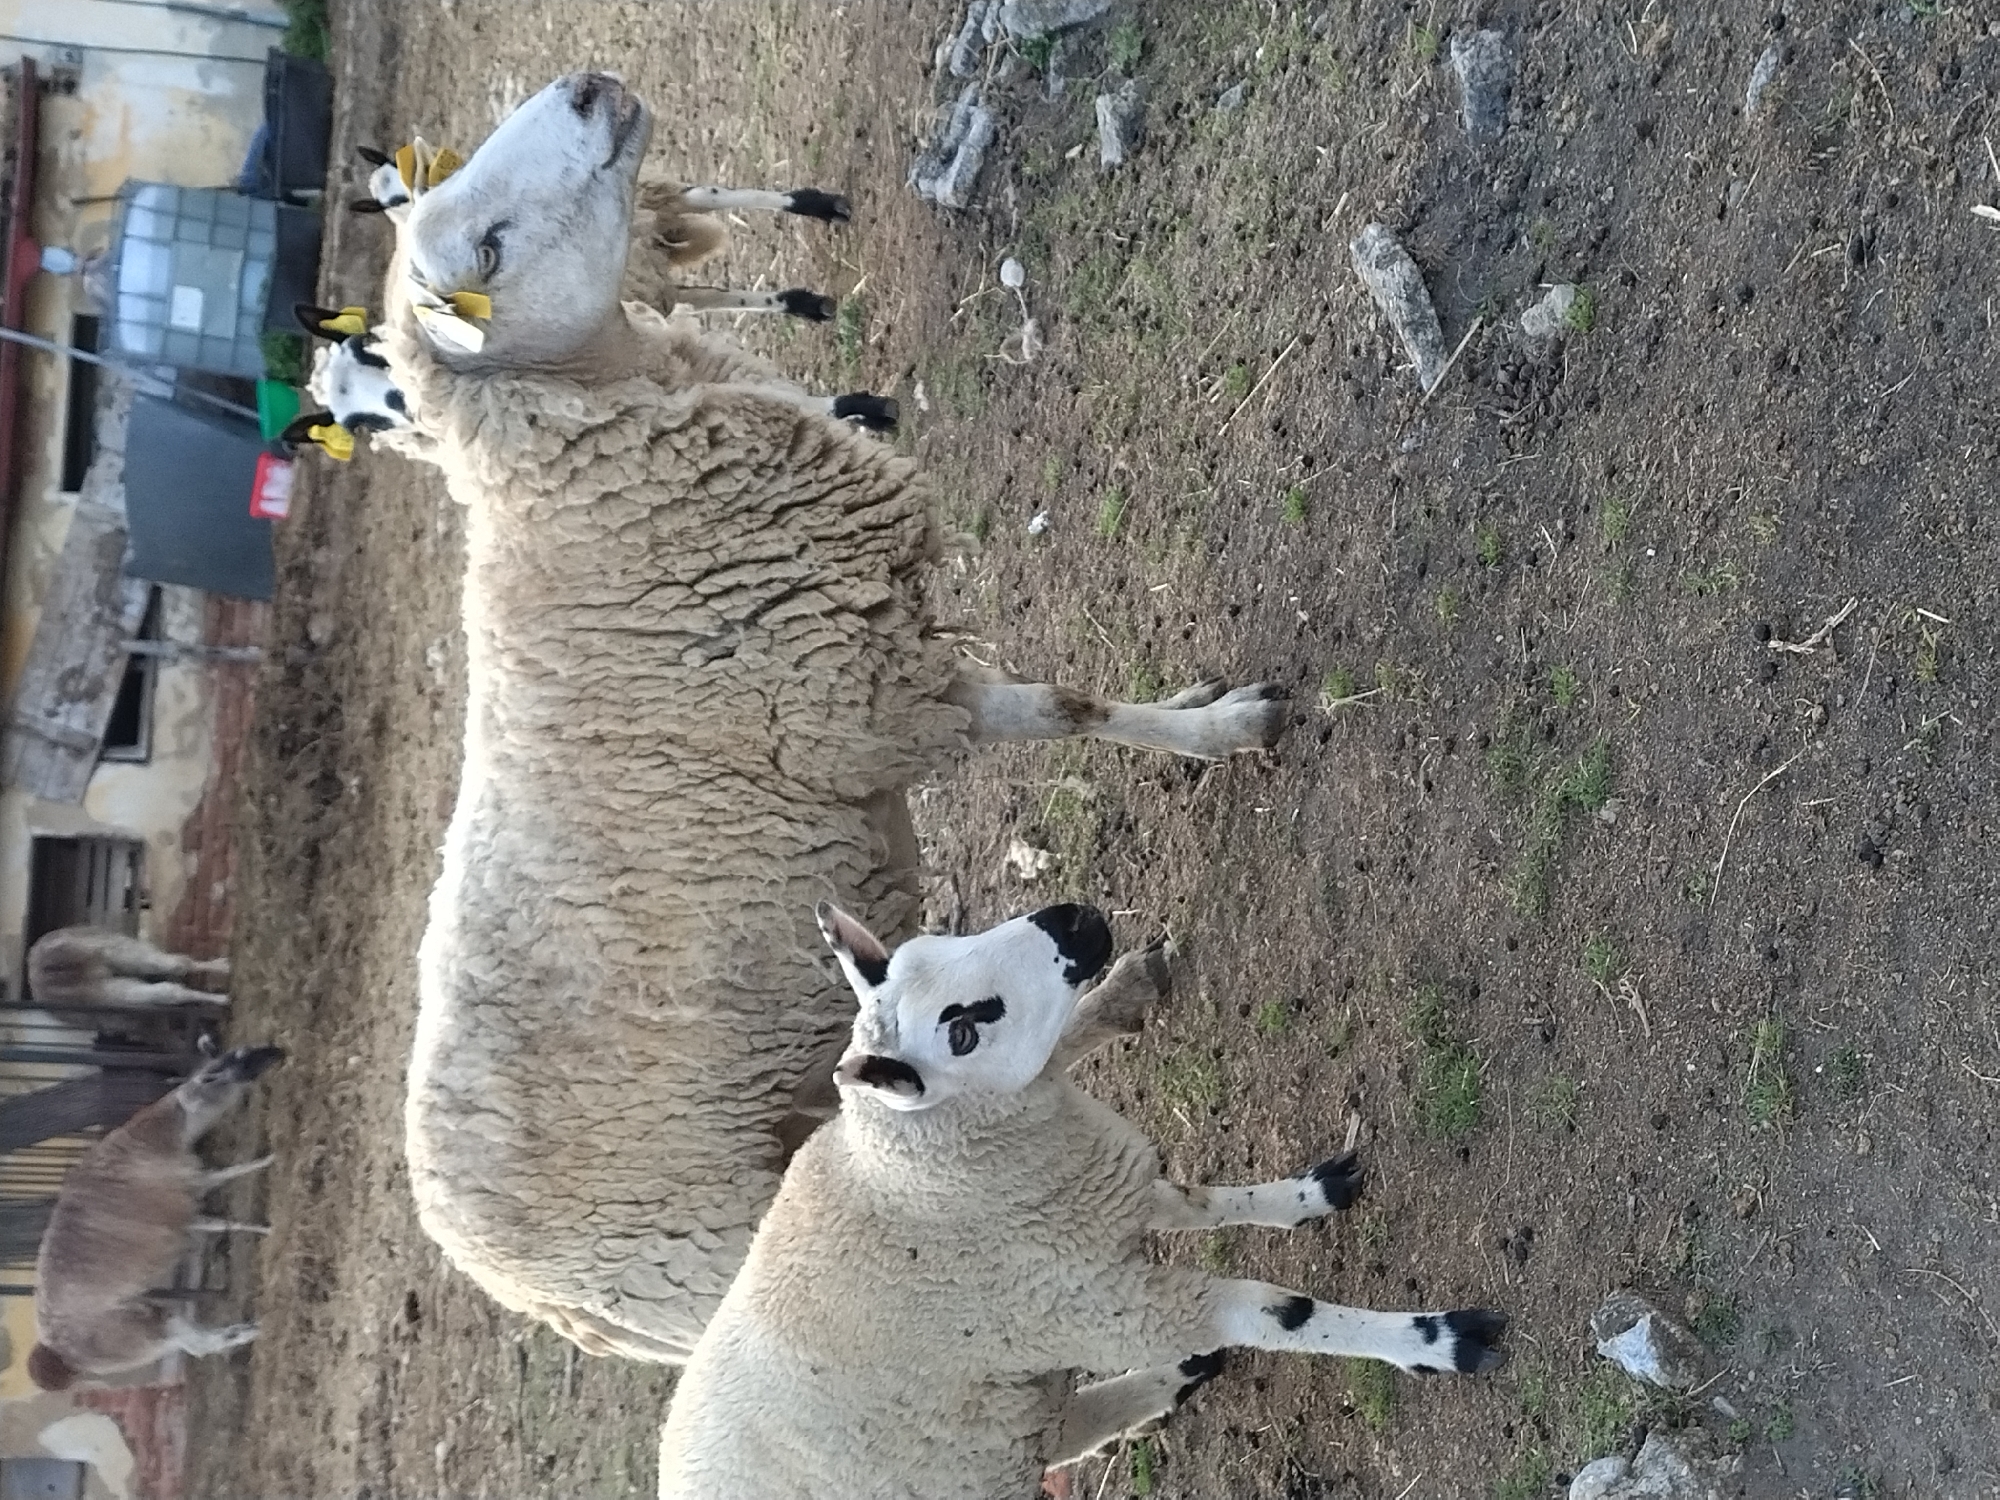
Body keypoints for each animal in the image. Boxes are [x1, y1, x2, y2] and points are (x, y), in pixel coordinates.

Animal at [28, 1041, 284, 1391]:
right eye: (225, 1067)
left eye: (241, 1052)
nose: (276, 1052)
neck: (147, 1146)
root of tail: (59, 1356)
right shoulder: (176, 1213)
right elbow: (225, 1215)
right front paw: (267, 1224)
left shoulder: (190, 1188)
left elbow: (228, 1176)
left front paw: (266, 1161)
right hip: (133, 1333)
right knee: (193, 1343)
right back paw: (251, 1331)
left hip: (146, 1314)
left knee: (194, 1342)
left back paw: (245, 1330)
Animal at [367, 71, 1289, 1365]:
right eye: (487, 248)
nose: (588, 89)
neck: (593, 502)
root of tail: (541, 1299)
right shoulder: (878, 702)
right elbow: (1075, 707)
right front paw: (1223, 733)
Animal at [655, 904, 1507, 1497]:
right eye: (962, 1032)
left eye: (930, 942)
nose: (1073, 919)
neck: (914, 1182)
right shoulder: (1090, 1305)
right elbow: (1280, 1313)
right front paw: (1438, 1341)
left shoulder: (1095, 1199)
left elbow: (1202, 1201)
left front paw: (1309, 1195)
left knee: (1063, 1430)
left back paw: (1181, 1375)